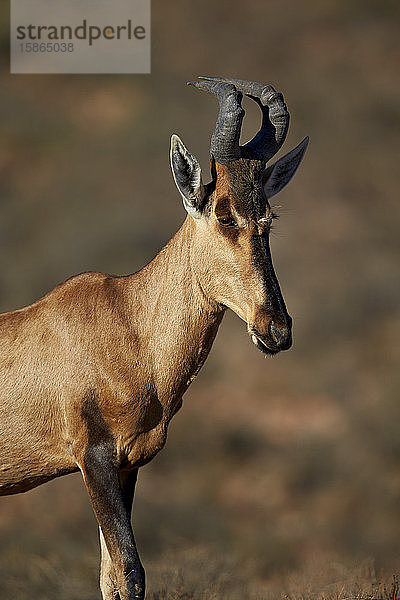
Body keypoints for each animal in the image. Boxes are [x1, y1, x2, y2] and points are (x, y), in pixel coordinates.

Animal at [0, 77, 310, 596]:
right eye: (224, 215)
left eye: (268, 218)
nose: (277, 329)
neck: (128, 321)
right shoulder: (93, 460)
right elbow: (129, 569)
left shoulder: (128, 465)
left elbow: (113, 576)